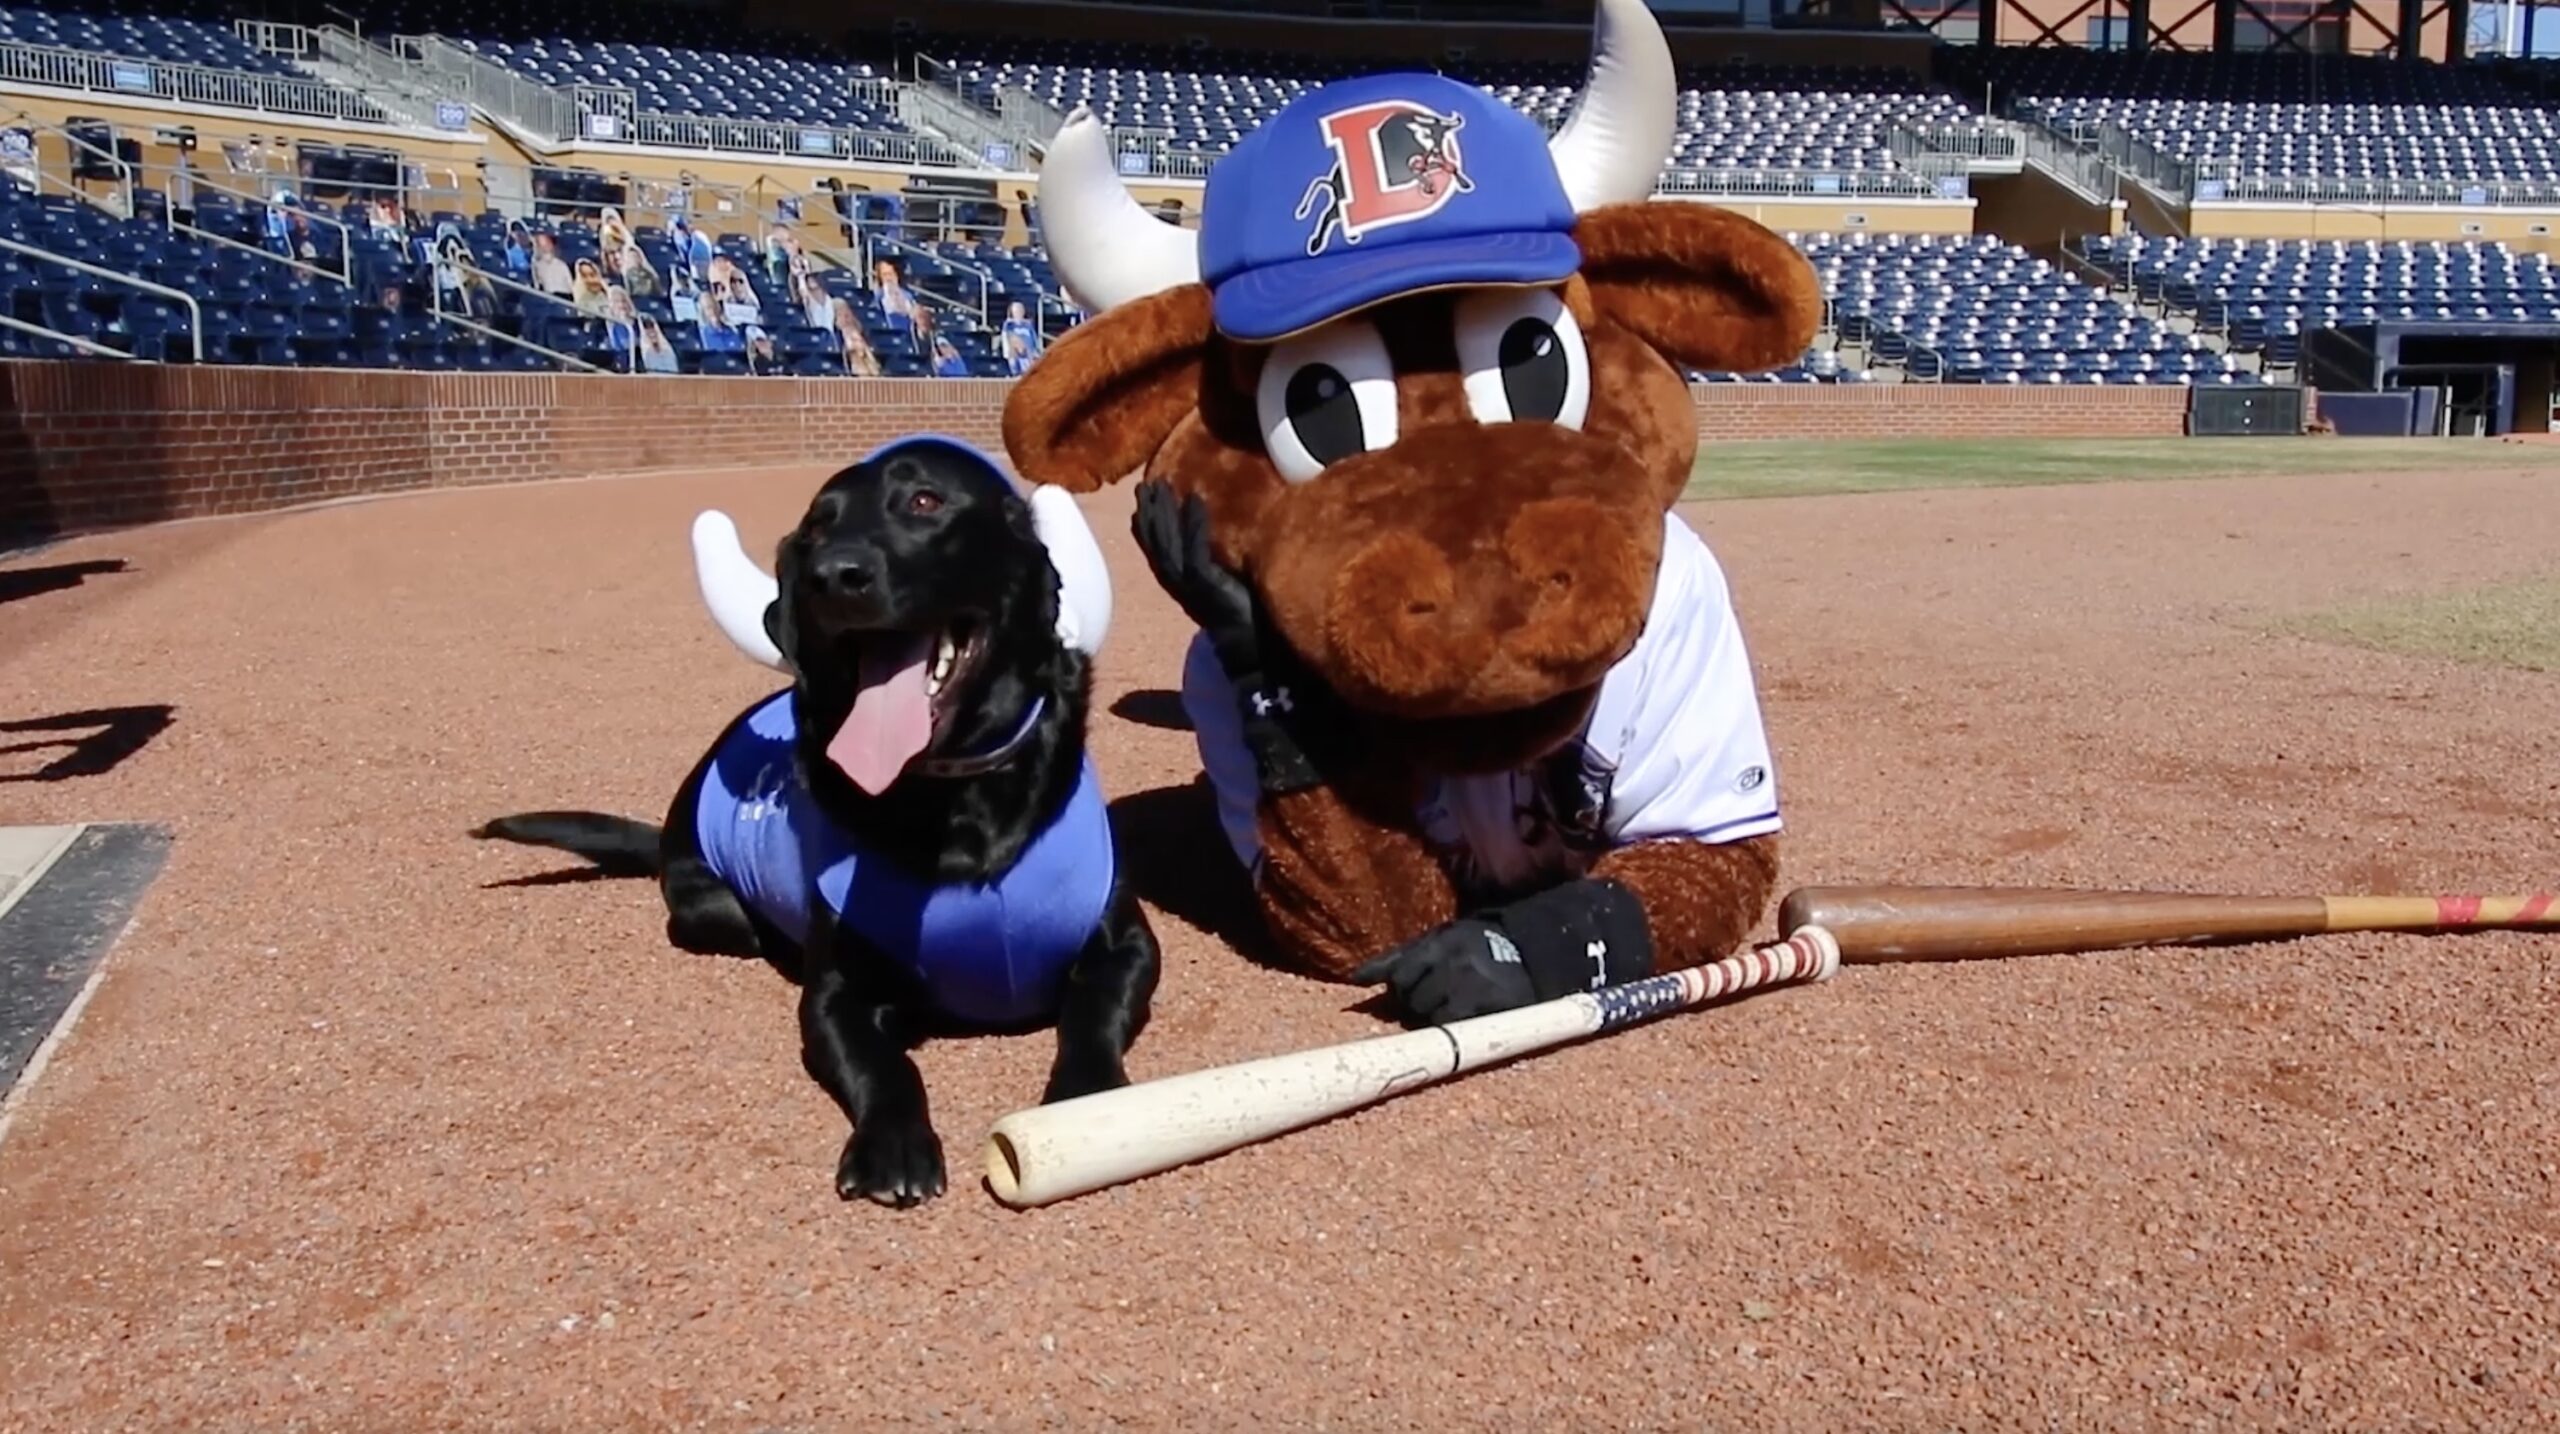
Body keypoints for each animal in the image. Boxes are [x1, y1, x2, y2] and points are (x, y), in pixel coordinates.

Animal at [476, 437, 1167, 1208]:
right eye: (815, 526)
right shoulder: (838, 996)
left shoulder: (1128, 947)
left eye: (924, 500)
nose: (832, 576)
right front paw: (892, 1147)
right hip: (709, 909)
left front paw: (1088, 1102)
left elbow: (1091, 1018)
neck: (956, 797)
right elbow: (885, 1066)